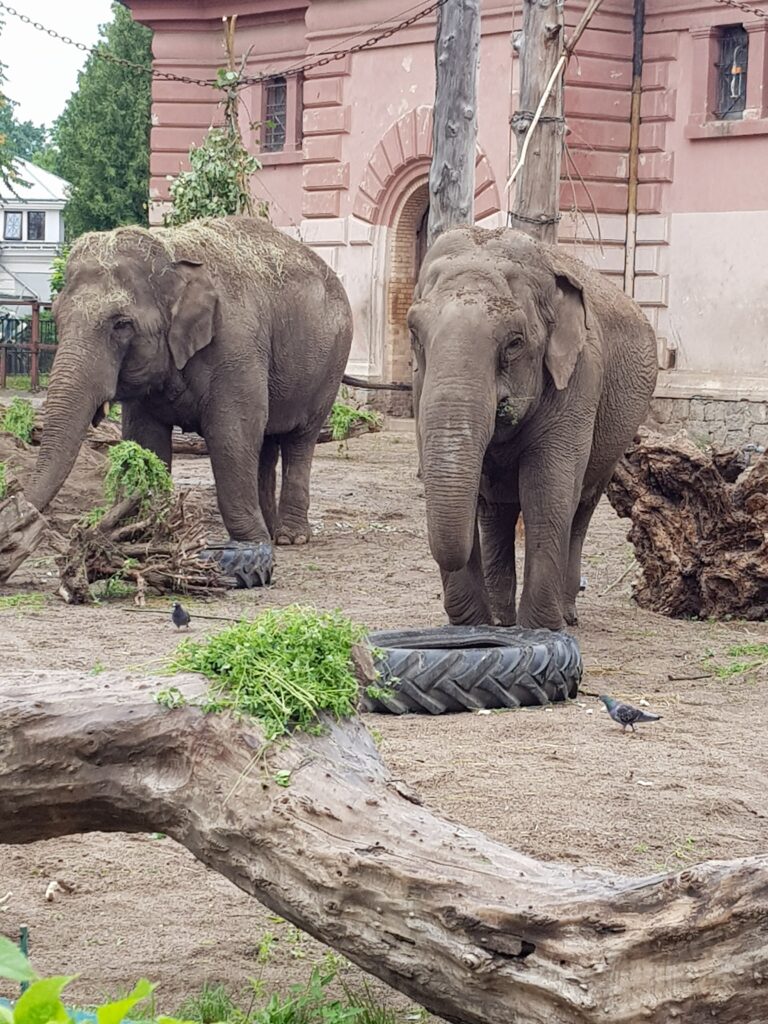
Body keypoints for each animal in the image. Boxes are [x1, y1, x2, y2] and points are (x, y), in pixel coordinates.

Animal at [28, 214, 354, 585]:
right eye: (57, 316)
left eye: (121, 324)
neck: (171, 252)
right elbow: (146, 439)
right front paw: (142, 535)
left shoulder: (236, 346)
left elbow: (232, 434)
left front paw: (248, 547)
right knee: (267, 443)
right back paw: (271, 532)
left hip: (329, 367)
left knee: (299, 440)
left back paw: (289, 537)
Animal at [411, 228, 659, 630]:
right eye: (414, 333)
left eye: (515, 342)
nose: (467, 622)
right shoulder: (420, 387)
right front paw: (482, 628)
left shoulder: (580, 377)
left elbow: (546, 489)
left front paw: (539, 628)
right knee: (495, 510)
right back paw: (501, 620)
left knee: (580, 508)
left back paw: (565, 615)